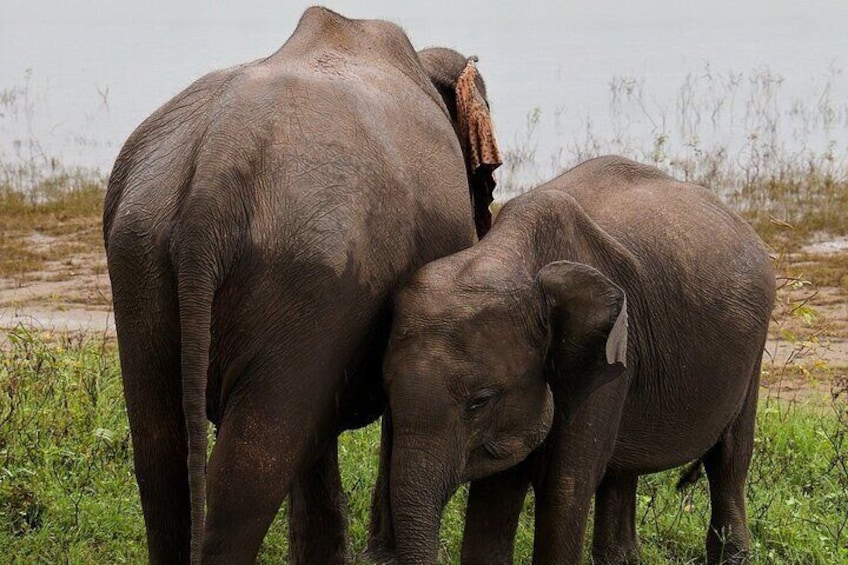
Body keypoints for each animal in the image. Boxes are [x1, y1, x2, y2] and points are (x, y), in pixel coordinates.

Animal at [378, 155, 776, 564]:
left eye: (479, 402)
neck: (508, 254)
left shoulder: (612, 357)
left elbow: (565, 485)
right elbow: (497, 488)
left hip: (753, 349)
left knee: (729, 457)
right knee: (622, 471)